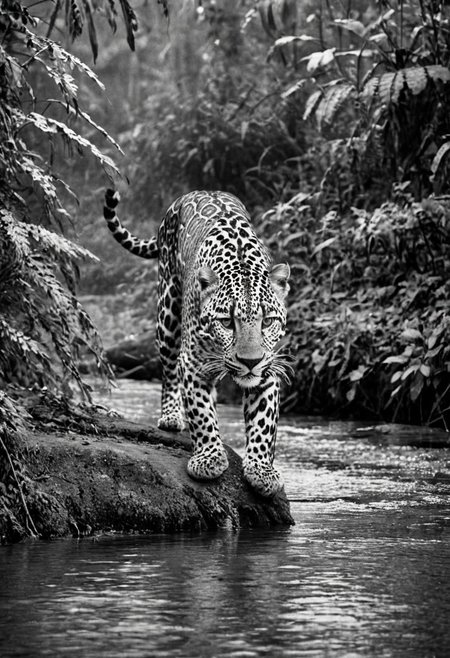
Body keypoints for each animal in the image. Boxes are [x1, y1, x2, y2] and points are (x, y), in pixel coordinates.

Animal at [103, 189, 291, 497]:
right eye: (227, 322)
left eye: (267, 321)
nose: (250, 362)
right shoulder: (192, 364)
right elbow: (201, 414)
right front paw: (209, 458)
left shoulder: (267, 370)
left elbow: (263, 422)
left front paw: (262, 470)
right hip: (167, 313)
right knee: (168, 370)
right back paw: (170, 416)